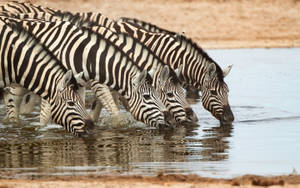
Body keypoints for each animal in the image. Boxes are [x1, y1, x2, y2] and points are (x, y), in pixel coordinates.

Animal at [1, 16, 172, 129]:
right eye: (147, 97)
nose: (168, 122)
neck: (85, 56)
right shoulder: (57, 82)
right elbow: (45, 113)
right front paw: (44, 131)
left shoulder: (79, 84)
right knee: (11, 100)